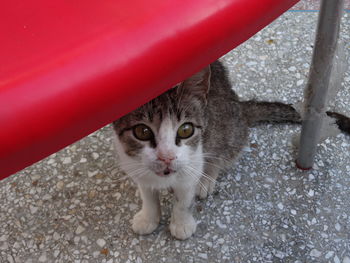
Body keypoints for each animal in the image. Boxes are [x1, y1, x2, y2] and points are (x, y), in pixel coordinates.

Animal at [113, 60, 350, 241]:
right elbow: (148, 193)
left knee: (221, 150)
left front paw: (181, 222)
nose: (167, 157)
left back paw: (207, 179)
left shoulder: (194, 160)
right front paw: (148, 217)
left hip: (226, 126)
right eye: (142, 131)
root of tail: (239, 106)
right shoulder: (134, 164)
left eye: (186, 130)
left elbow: (184, 198)